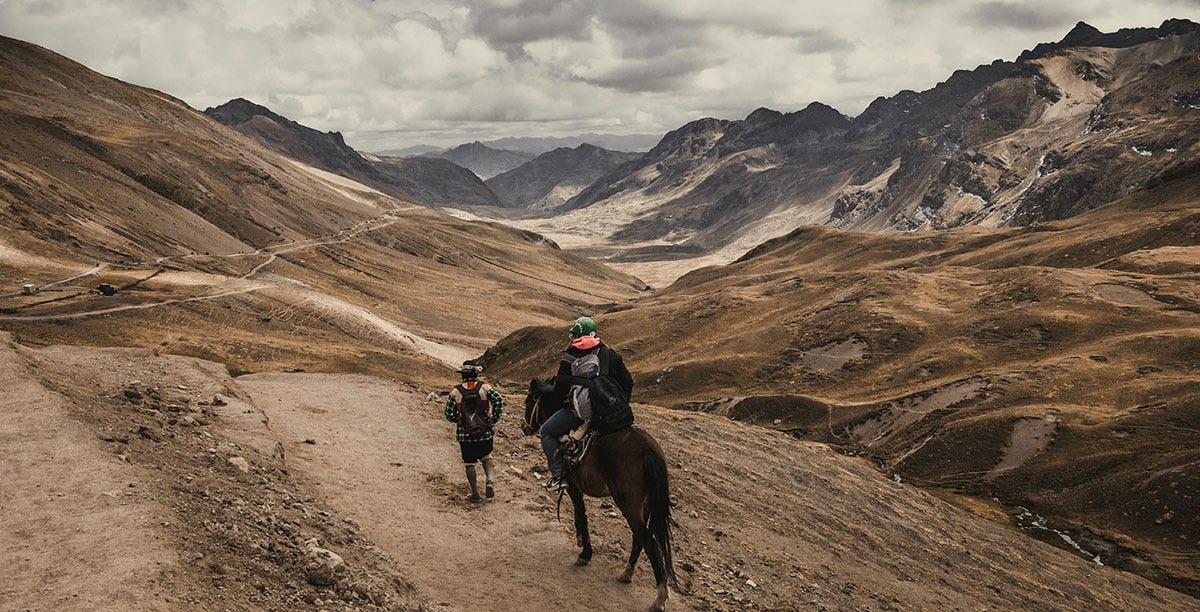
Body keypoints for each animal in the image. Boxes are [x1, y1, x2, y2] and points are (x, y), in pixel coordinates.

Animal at [523, 374, 676, 609]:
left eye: (529, 401)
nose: (524, 427)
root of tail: (648, 450)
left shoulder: (573, 485)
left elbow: (581, 514)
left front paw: (585, 553)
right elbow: (580, 515)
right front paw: (580, 542)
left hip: (628, 503)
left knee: (648, 540)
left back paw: (659, 597)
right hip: (645, 504)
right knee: (639, 537)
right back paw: (626, 573)